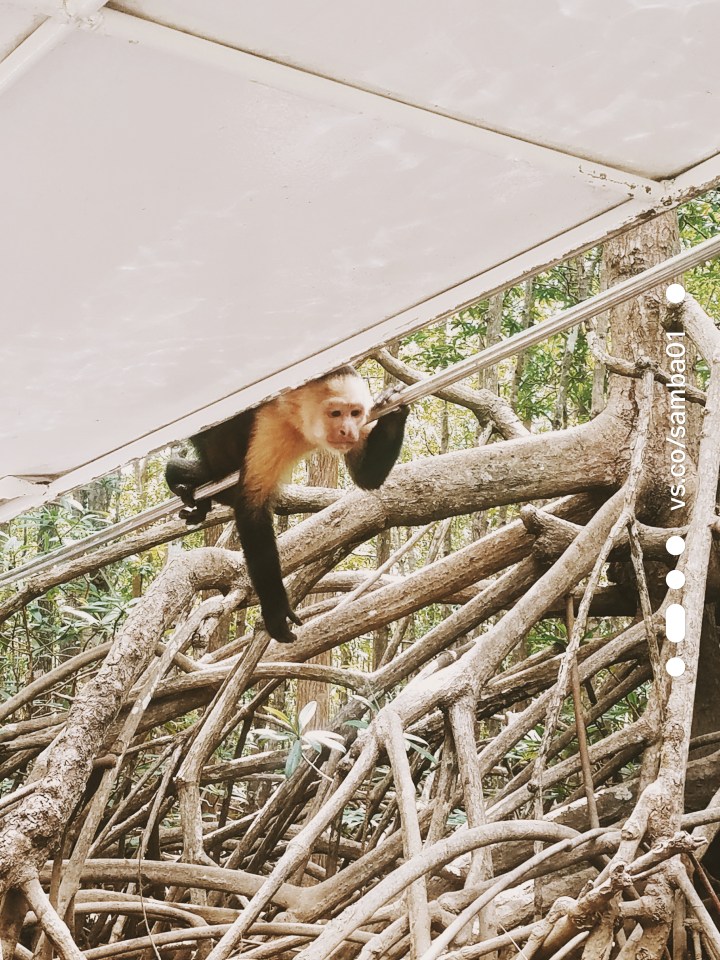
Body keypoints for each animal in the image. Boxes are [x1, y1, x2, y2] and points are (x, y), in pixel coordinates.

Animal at [165, 368, 410, 644]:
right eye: (336, 413)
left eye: (355, 413)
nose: (347, 431)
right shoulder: (271, 424)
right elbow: (252, 509)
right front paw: (275, 611)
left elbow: (366, 478)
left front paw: (394, 410)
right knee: (221, 467)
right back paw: (185, 475)